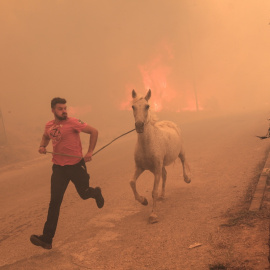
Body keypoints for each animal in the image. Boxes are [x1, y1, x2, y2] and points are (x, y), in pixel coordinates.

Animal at [129, 88, 191, 224]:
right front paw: (143, 201)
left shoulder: (156, 169)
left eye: (147, 106)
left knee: (183, 162)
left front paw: (153, 215)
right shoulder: (140, 168)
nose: (139, 125)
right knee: (165, 174)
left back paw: (187, 178)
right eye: (133, 106)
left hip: (181, 152)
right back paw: (162, 195)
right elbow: (132, 182)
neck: (148, 144)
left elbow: (154, 192)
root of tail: (171, 123)